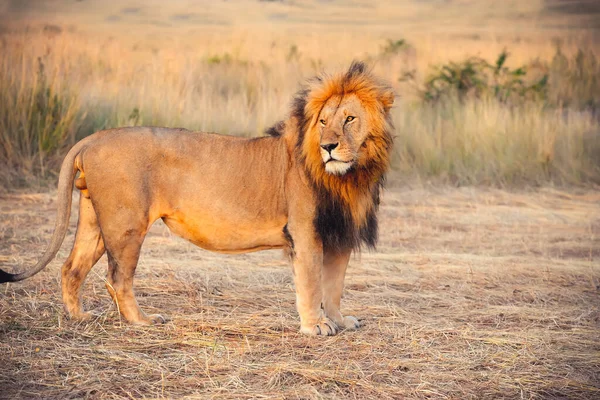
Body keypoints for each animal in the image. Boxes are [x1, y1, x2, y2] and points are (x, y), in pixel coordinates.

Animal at [1, 61, 394, 336]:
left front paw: (340, 321)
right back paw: (142, 322)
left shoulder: (339, 236)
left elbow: (335, 286)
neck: (351, 177)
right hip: (127, 225)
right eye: (323, 122)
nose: (329, 147)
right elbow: (312, 284)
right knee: (117, 278)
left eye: (349, 119)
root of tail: (94, 136)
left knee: (71, 268)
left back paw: (78, 317)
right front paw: (316, 326)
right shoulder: (306, 233)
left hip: (96, 220)